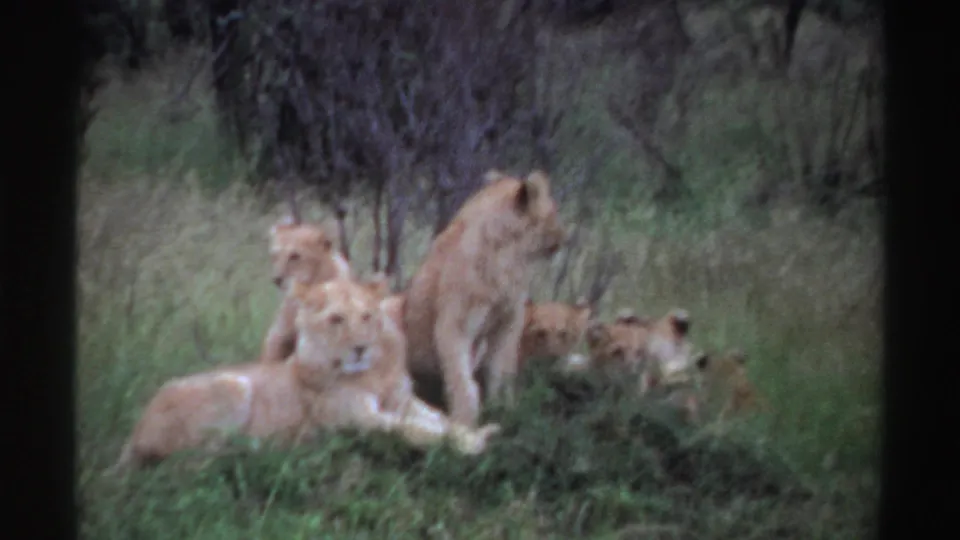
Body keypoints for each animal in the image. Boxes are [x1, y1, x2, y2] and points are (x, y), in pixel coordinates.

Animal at [110, 276, 501, 472]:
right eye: (336, 319)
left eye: (367, 316)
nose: (360, 347)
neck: (373, 373)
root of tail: (134, 432)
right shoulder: (360, 421)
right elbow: (417, 431)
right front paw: (474, 443)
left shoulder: (403, 402)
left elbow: (441, 420)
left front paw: (476, 431)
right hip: (232, 385)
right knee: (192, 460)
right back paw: (262, 447)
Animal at [403, 170, 568, 427]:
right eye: (553, 211)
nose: (564, 235)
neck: (509, 259)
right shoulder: (455, 324)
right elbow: (461, 379)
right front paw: (464, 421)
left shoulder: (509, 322)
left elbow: (501, 370)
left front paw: (504, 409)